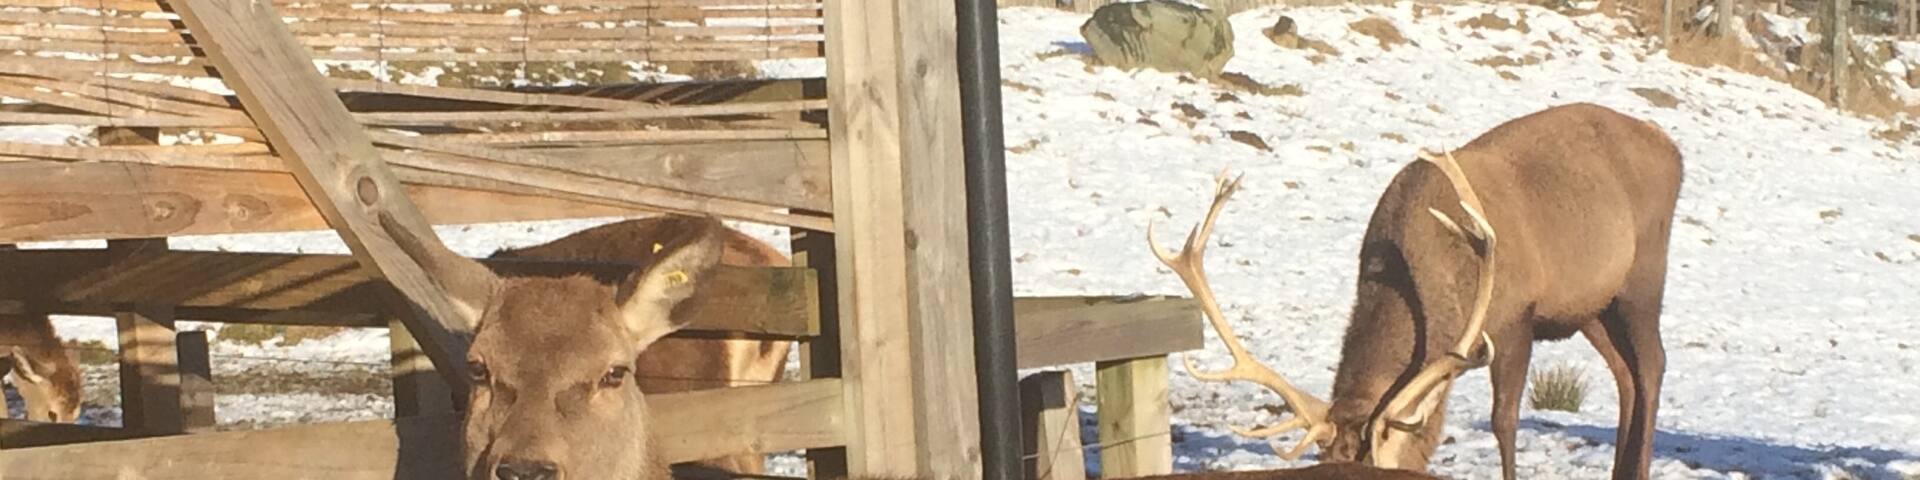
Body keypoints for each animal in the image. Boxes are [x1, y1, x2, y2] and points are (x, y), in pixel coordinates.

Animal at [1147, 102, 1683, 480]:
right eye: (1329, 463)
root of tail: (1669, 144)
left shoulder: (1517, 317)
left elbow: (1504, 419)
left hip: (1644, 273)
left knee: (1653, 366)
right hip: (1592, 306)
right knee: (1625, 375)